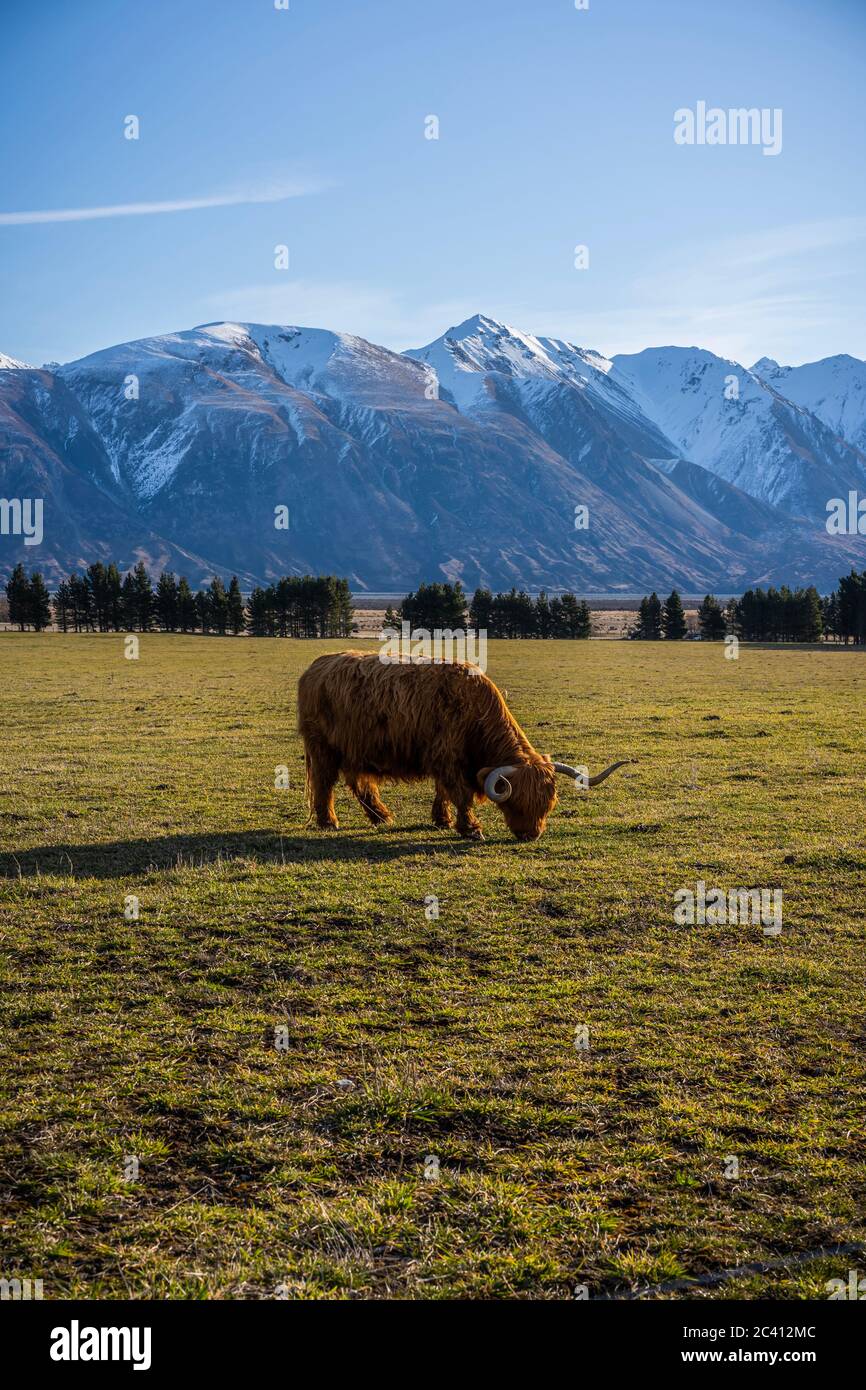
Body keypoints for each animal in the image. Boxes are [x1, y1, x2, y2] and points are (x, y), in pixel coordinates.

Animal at [297, 650, 631, 842]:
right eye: (517, 802)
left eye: (547, 803)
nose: (531, 835)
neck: (475, 714)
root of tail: (317, 665)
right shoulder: (448, 758)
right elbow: (460, 794)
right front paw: (471, 828)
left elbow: (443, 793)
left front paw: (442, 821)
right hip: (323, 748)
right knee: (325, 783)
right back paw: (329, 823)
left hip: (355, 749)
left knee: (361, 783)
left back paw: (382, 816)